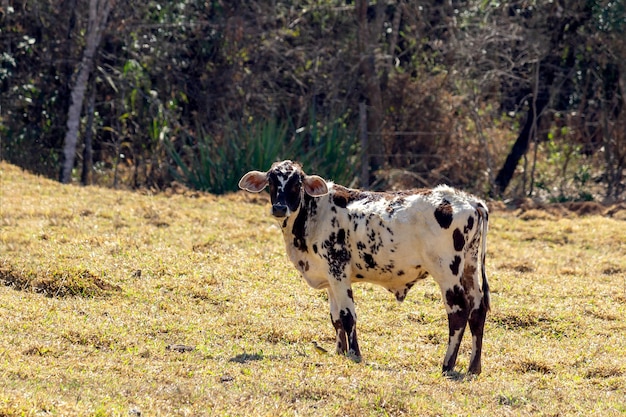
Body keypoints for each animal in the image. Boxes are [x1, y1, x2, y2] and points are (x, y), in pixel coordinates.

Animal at [239, 159, 488, 374]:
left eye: (297, 183)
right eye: (271, 182)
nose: (279, 208)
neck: (314, 215)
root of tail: (469, 201)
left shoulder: (338, 270)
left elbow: (348, 315)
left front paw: (354, 354)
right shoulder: (330, 278)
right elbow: (336, 318)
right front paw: (339, 351)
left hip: (447, 271)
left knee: (459, 311)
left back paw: (447, 364)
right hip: (470, 267)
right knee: (478, 309)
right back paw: (473, 368)